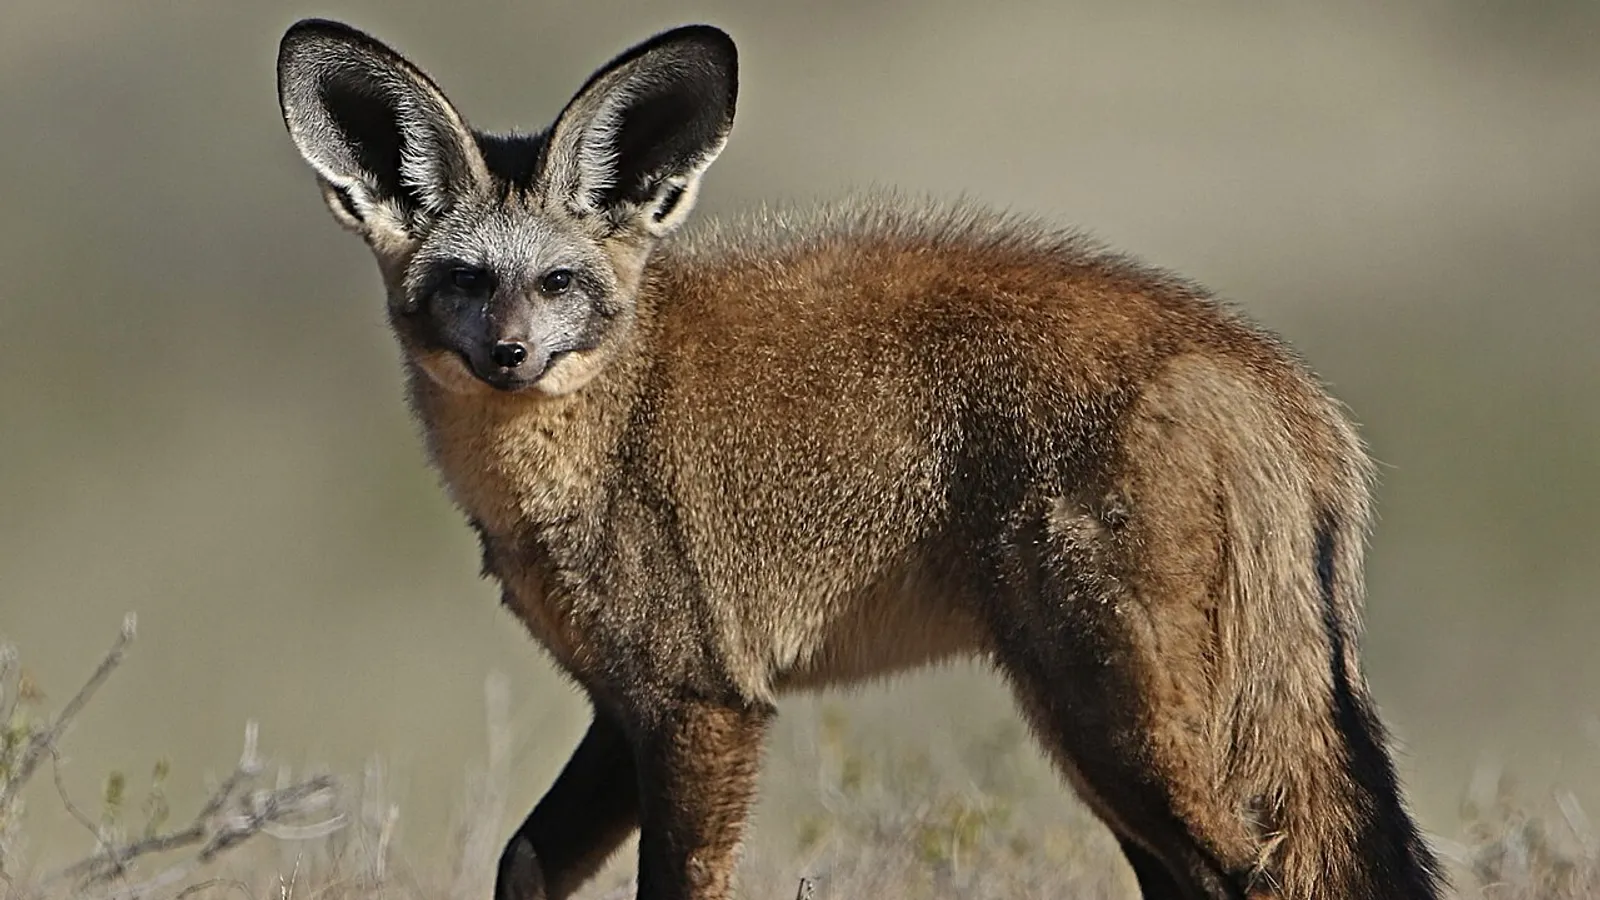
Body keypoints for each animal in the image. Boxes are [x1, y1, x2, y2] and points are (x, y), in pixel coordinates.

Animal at [275, 17, 1444, 900]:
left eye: (559, 283)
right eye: (467, 283)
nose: (511, 356)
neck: (603, 431)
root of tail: (1278, 378)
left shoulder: (704, 701)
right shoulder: (626, 705)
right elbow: (520, 862)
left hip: (1115, 728)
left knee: (1257, 872)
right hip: (1106, 749)